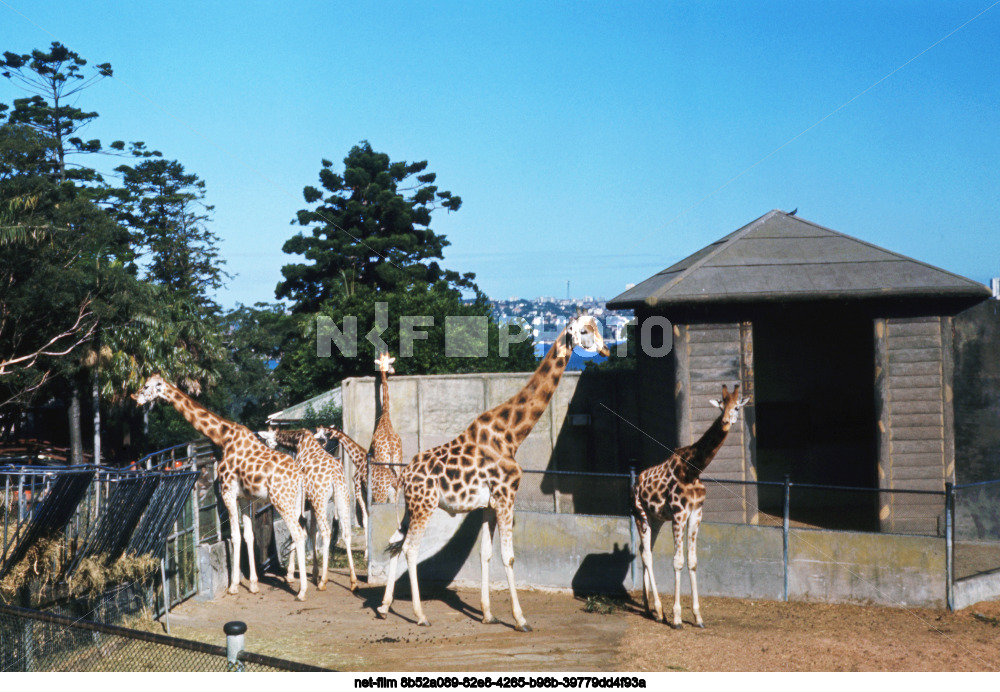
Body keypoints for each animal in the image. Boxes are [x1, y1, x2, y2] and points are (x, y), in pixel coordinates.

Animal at [132, 374, 308, 600]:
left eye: (146, 386)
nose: (135, 397)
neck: (223, 437)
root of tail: (299, 476)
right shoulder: (244, 497)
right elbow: (248, 535)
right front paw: (253, 584)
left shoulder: (227, 492)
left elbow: (234, 536)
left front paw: (233, 586)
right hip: (295, 502)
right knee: (300, 532)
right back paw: (294, 577)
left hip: (281, 500)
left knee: (298, 534)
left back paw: (302, 591)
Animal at [258, 430, 360, 592]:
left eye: (266, 440)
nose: (270, 452)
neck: (298, 442)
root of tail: (334, 477)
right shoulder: (310, 501)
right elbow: (312, 531)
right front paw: (314, 573)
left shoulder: (299, 498)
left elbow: (298, 531)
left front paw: (291, 574)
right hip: (342, 497)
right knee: (346, 532)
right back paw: (353, 581)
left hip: (321, 499)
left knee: (326, 531)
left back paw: (323, 581)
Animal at [318, 424, 400, 560]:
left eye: (325, 433)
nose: (320, 443)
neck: (359, 460)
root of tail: (393, 482)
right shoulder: (366, 492)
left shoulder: (358, 490)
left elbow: (366, 520)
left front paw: (366, 554)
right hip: (392, 497)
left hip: (381, 496)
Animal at [376, 316, 604, 628]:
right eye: (584, 331)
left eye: (598, 326)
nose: (605, 349)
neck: (512, 434)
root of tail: (405, 475)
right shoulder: (507, 498)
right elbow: (508, 557)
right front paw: (520, 619)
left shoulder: (488, 505)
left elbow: (485, 554)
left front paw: (487, 614)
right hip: (425, 507)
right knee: (411, 549)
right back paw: (420, 615)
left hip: (412, 507)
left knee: (395, 543)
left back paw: (384, 606)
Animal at [632, 384, 752, 628]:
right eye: (721, 407)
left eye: (736, 407)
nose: (725, 422)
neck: (694, 469)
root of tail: (635, 482)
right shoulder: (679, 514)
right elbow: (678, 561)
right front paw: (677, 617)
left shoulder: (696, 513)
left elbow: (693, 561)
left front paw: (698, 617)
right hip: (640, 514)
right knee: (647, 554)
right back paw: (660, 610)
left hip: (655, 519)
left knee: (644, 550)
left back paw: (650, 609)